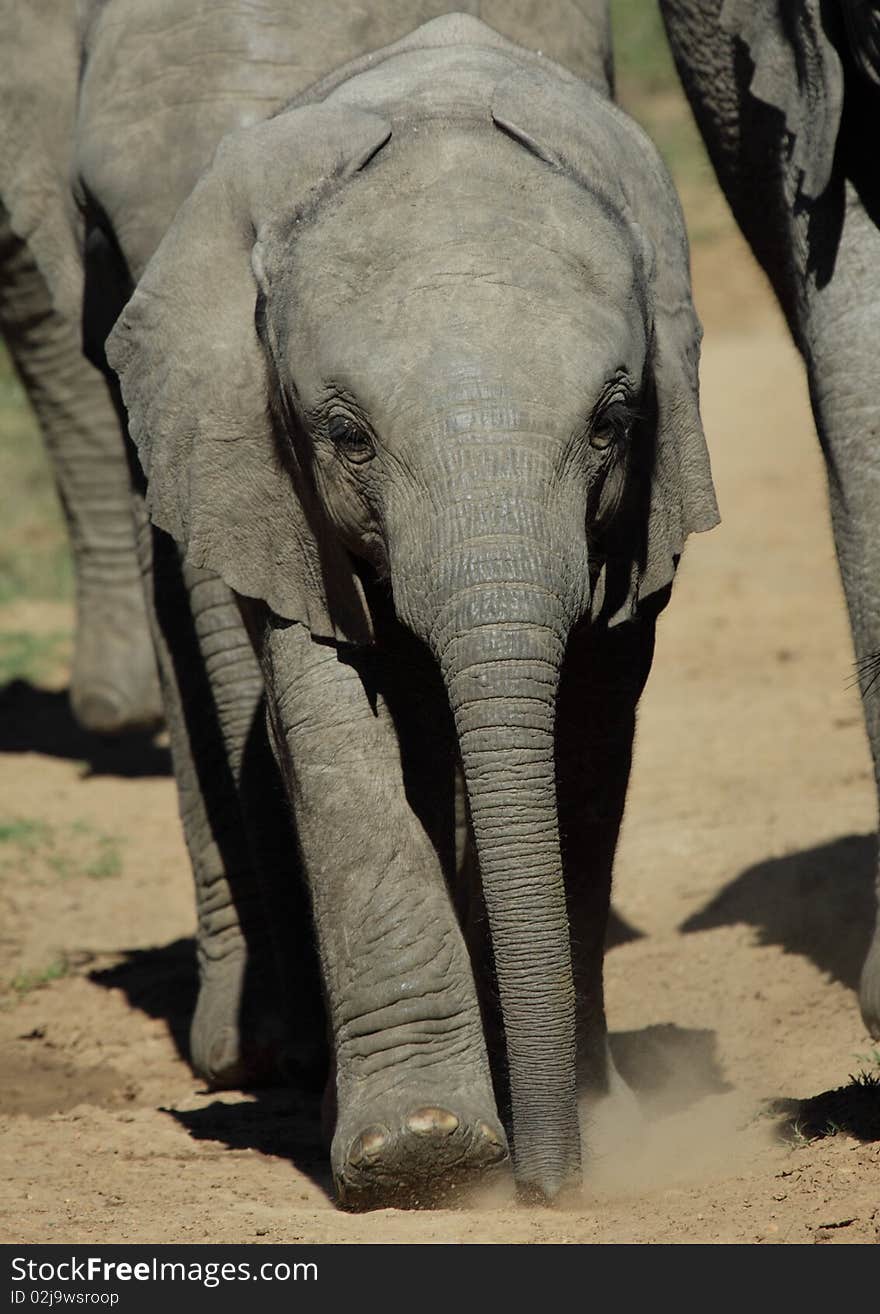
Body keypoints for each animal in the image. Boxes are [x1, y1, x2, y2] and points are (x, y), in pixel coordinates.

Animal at [108, 15, 714, 1203]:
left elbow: (589, 737)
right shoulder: (275, 487)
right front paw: (422, 1155)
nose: (545, 1188)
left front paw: (583, 1130)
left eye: (612, 423)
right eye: (346, 436)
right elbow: (334, 729)